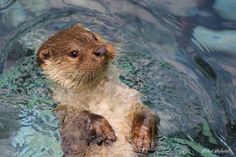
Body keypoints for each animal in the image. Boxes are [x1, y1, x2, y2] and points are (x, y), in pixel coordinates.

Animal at [36, 23, 159, 157]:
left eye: (94, 37)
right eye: (73, 53)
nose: (101, 50)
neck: (101, 99)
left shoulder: (128, 98)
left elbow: (147, 112)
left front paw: (142, 138)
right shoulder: (67, 112)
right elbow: (78, 122)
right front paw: (101, 126)